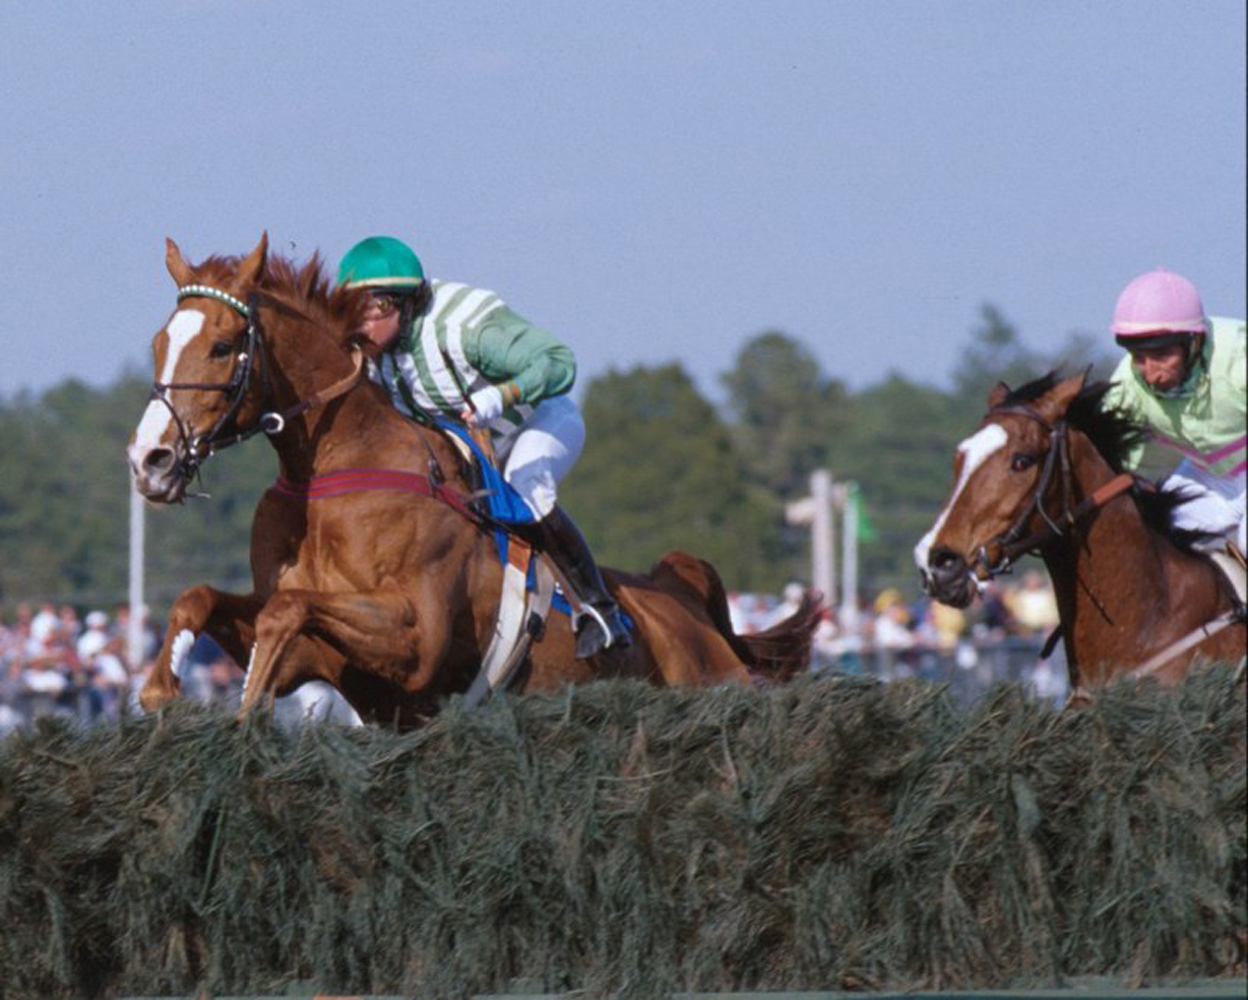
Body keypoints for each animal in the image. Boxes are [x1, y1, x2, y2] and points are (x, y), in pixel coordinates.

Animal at [121, 235, 813, 724]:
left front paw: (246, 711)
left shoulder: (417, 639)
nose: (149, 459)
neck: (332, 470)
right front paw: (161, 689)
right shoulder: (325, 655)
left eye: (222, 346)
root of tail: (683, 602)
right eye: (157, 343)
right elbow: (207, 599)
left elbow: (285, 611)